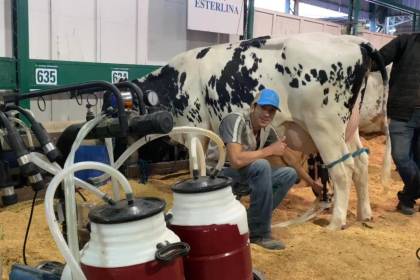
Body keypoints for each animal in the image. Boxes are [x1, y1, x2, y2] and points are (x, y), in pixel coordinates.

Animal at [133, 32, 386, 230]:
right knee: (361, 163)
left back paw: (336, 222)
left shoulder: (195, 127)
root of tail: (353, 41)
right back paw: (365, 214)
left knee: (343, 169)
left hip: (325, 127)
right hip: (349, 128)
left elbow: (197, 164)